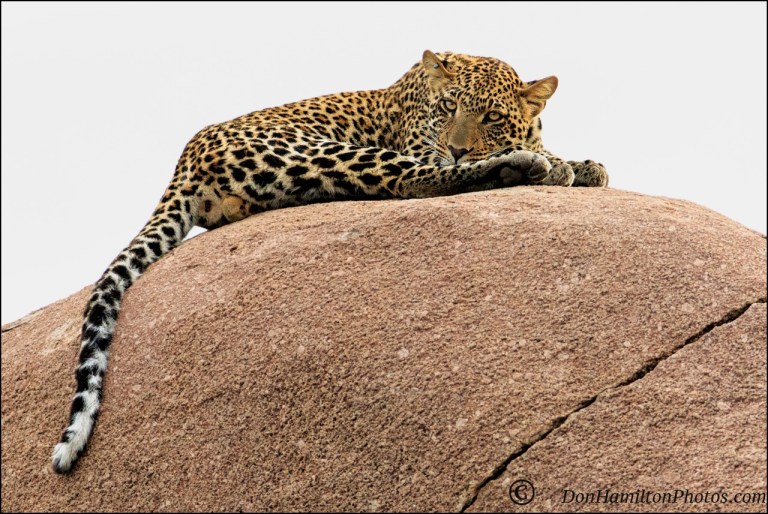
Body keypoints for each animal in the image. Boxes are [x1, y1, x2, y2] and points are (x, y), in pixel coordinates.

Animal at [51, 50, 609, 474]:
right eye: (448, 107)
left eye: (491, 117)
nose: (456, 148)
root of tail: (187, 157)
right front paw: (556, 163)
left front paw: (582, 165)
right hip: (320, 151)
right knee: (415, 178)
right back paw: (521, 168)